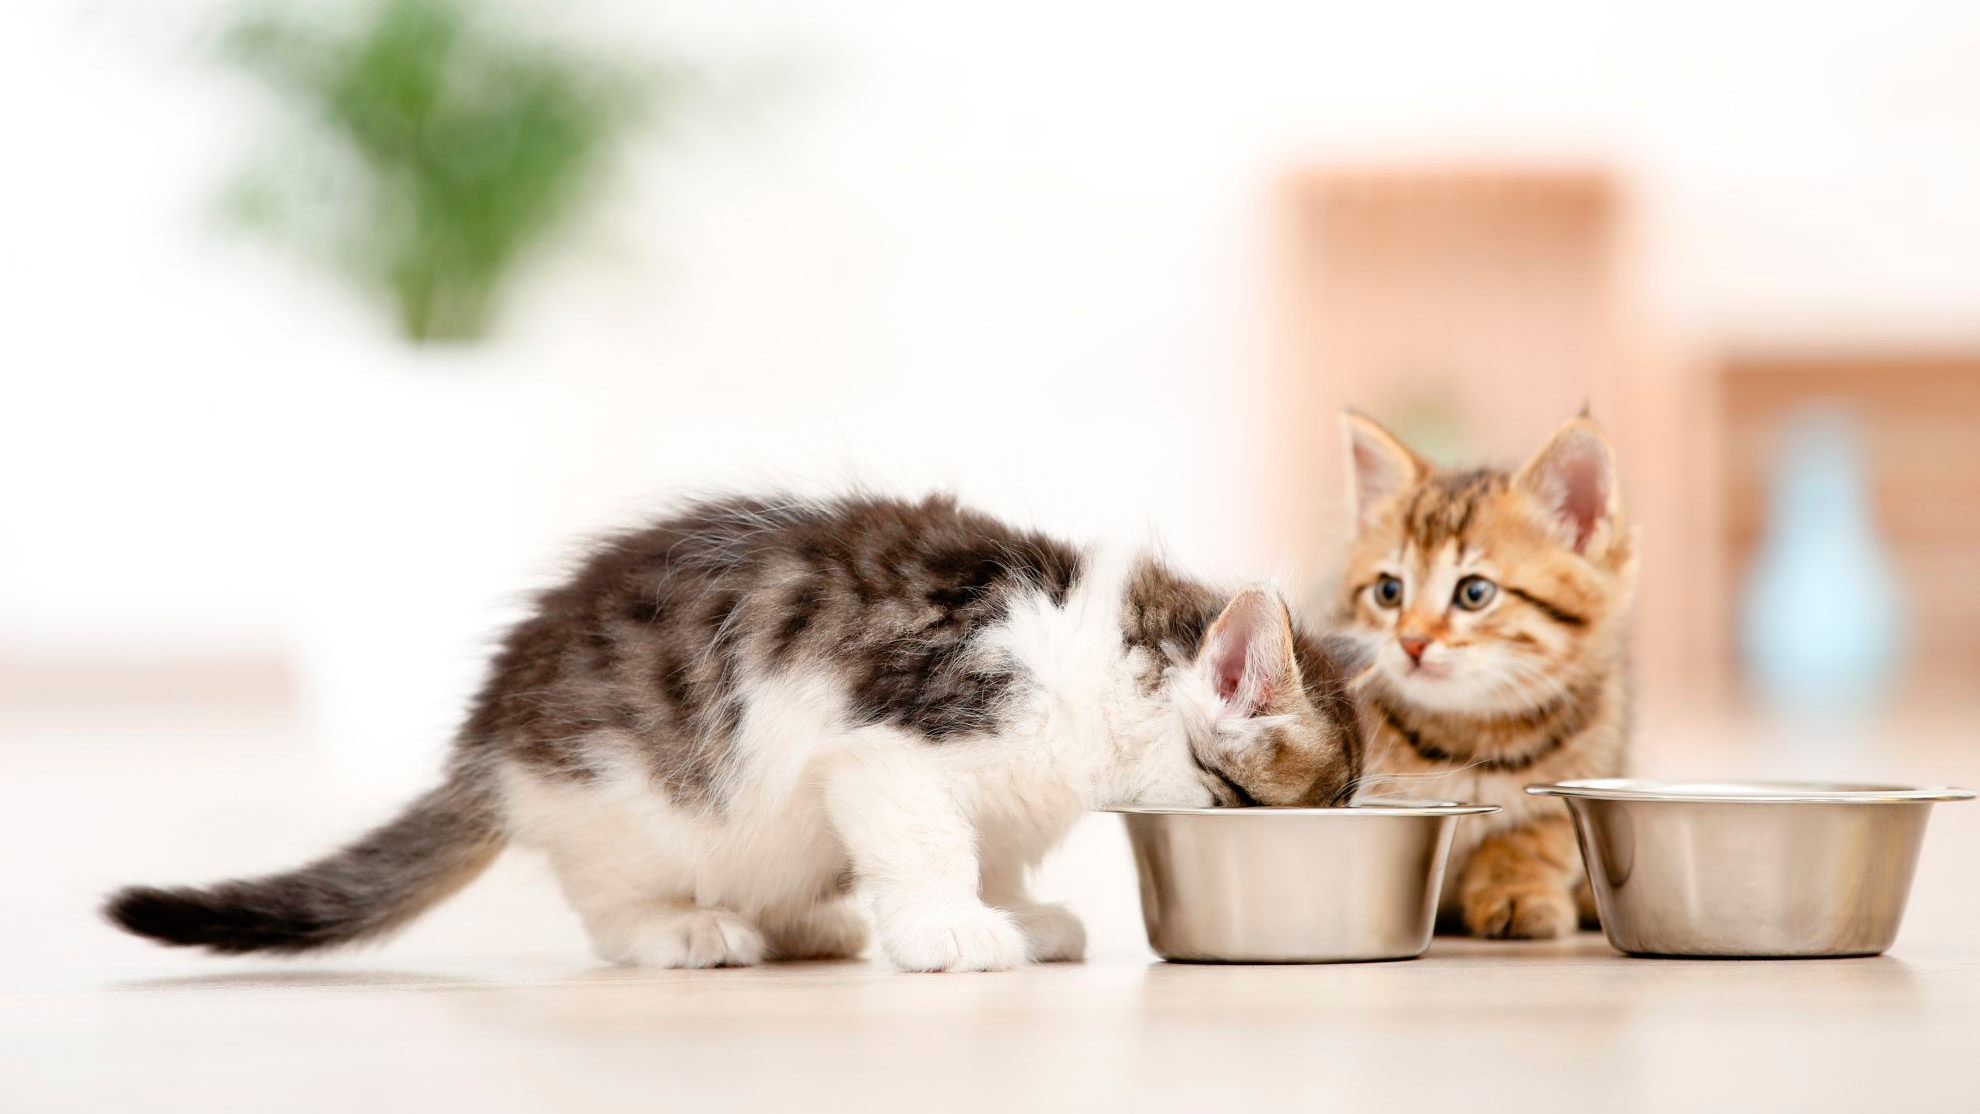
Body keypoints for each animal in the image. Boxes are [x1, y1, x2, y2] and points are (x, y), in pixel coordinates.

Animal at [100, 492, 1354, 973]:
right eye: (1314, 803)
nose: (1344, 819)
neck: (1104, 662)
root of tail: (489, 739)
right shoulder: (889, 743)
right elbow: (931, 843)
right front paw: (954, 928)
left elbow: (993, 845)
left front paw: (1016, 909)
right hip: (625, 801)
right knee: (611, 908)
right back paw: (687, 930)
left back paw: (809, 921)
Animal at [1330, 413, 1639, 937]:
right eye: (1389, 591)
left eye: (1474, 593)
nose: (1411, 641)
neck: (1470, 734)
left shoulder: (1591, 757)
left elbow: (1534, 840)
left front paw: (1517, 893)